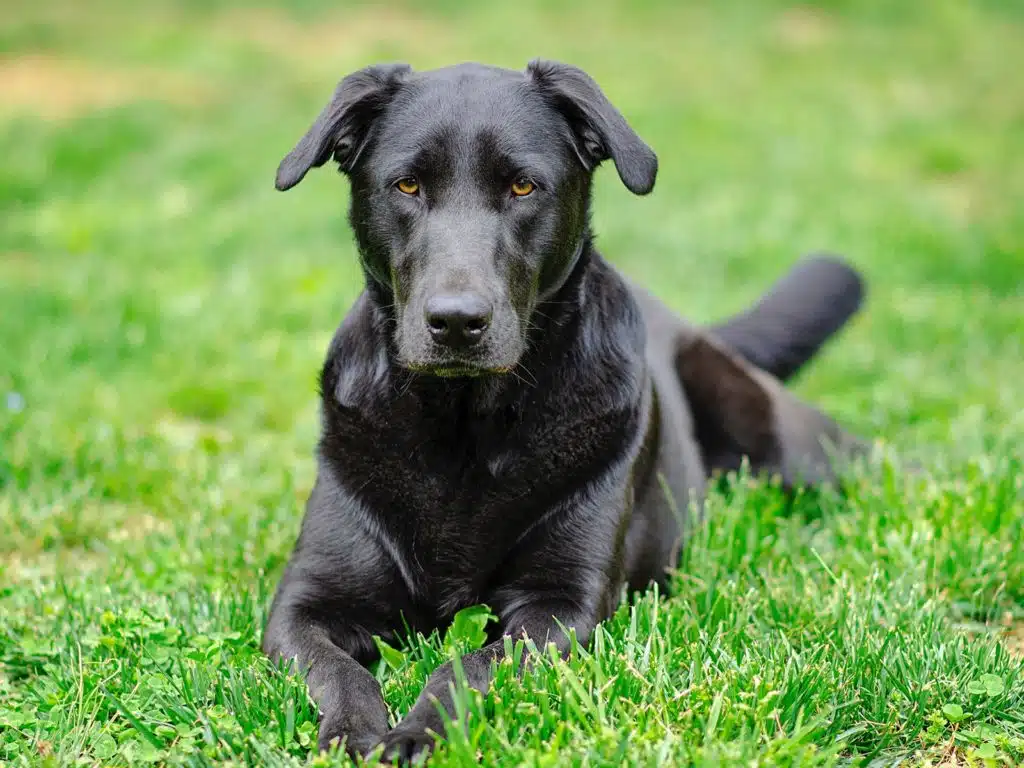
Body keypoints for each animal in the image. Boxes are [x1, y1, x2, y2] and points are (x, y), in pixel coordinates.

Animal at [262, 61, 864, 765]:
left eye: (524, 186)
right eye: (407, 184)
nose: (457, 322)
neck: (464, 425)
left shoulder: (560, 605)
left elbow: (466, 668)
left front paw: (418, 732)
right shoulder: (306, 603)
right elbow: (339, 670)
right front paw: (355, 733)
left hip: (784, 443)